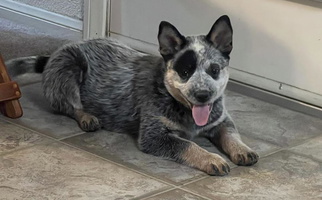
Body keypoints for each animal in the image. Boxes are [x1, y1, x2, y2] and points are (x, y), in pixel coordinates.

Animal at [6, 15, 260, 175]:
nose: (203, 95)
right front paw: (211, 158)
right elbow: (187, 145)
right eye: (185, 71)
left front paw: (242, 149)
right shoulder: (153, 136)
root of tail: (51, 55)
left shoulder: (221, 120)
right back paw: (87, 117)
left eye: (214, 69)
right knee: (70, 105)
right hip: (69, 68)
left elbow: (231, 133)